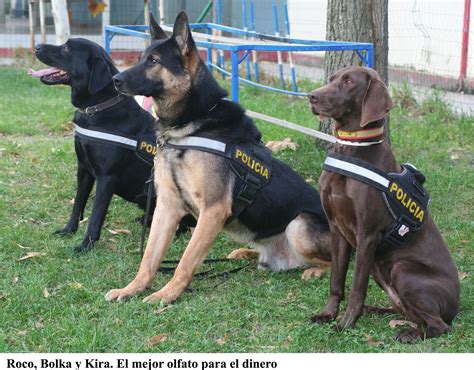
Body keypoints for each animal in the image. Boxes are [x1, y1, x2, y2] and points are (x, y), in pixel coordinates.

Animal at [31, 38, 157, 251]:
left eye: (66, 47)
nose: (37, 46)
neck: (96, 109)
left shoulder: (106, 178)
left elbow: (96, 215)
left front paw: (85, 245)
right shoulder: (83, 169)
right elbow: (78, 204)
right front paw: (69, 230)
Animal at [105, 13, 332, 304]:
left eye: (154, 61)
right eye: (141, 58)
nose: (115, 79)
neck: (190, 126)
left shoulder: (213, 209)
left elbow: (186, 260)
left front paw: (167, 294)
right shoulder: (167, 206)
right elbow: (149, 257)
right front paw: (132, 288)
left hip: (299, 225)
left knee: (336, 261)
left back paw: (316, 270)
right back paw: (246, 253)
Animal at [308, 67, 460, 344]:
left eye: (349, 81)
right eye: (332, 78)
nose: (312, 96)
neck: (352, 148)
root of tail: (457, 306)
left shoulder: (367, 235)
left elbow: (356, 287)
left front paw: (345, 324)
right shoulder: (337, 229)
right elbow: (336, 282)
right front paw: (328, 314)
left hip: (401, 269)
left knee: (440, 326)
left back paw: (410, 333)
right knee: (405, 311)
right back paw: (376, 311)